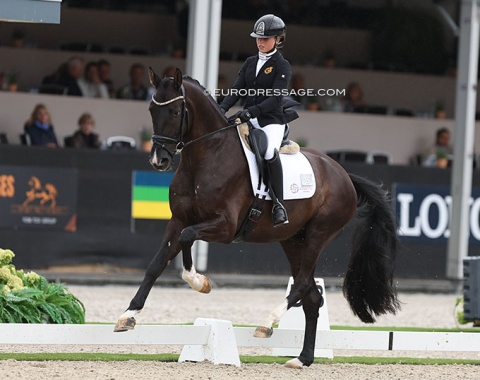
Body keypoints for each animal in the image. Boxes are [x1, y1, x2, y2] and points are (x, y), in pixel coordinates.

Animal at [114, 67, 400, 368]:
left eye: (175, 112)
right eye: (151, 109)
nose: (159, 160)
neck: (205, 157)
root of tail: (344, 174)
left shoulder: (225, 226)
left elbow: (187, 237)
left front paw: (198, 281)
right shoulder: (178, 220)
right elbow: (157, 263)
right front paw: (128, 316)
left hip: (318, 235)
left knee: (301, 286)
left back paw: (267, 324)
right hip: (292, 241)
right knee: (311, 296)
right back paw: (302, 359)